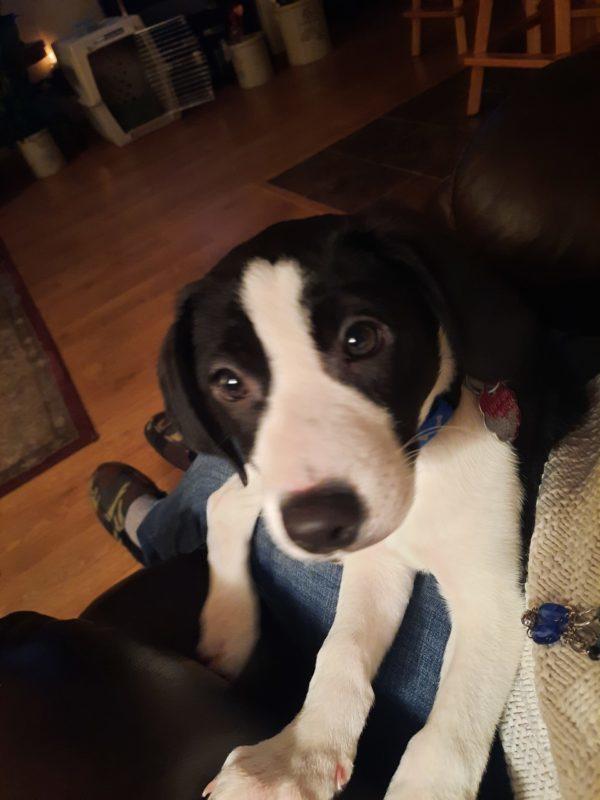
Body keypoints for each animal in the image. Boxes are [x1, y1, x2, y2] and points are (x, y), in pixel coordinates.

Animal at [159, 216, 584, 800]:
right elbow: (339, 654)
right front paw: (296, 759)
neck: (422, 463)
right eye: (228, 382)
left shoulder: (495, 600)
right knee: (226, 499)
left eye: (361, 339)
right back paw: (229, 627)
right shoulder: (375, 558)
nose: (320, 529)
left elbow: (443, 742)